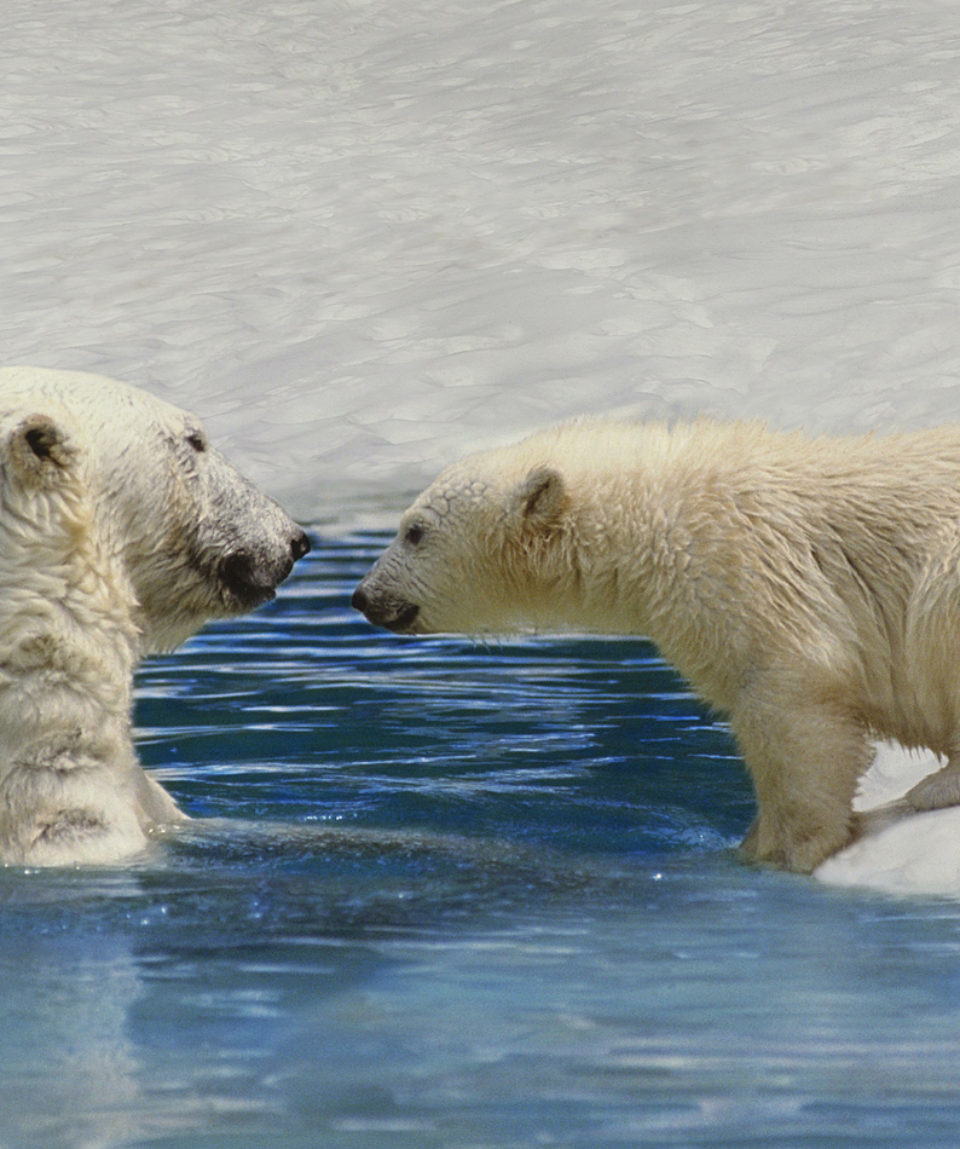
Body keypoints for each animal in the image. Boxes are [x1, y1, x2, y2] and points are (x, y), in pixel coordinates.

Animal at [349, 418, 960, 873]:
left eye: (414, 531)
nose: (363, 595)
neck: (655, 518)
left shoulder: (745, 572)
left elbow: (789, 695)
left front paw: (785, 848)